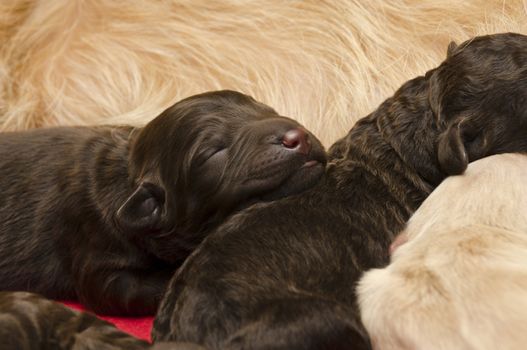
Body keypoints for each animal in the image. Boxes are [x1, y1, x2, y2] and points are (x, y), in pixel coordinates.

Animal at [0, 89, 326, 316]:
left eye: (268, 110)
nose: (297, 136)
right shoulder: (96, 250)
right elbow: (124, 288)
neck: (128, 176)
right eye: (213, 152)